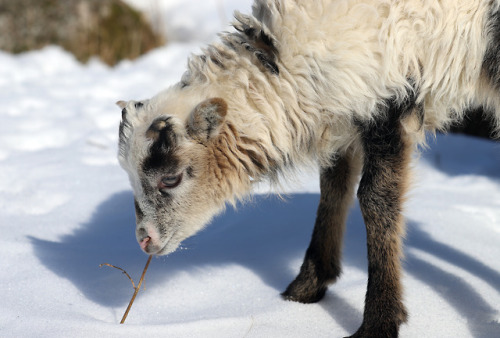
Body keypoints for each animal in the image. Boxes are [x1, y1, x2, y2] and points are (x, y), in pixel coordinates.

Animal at [116, 1, 500, 336]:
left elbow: (376, 200)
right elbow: (333, 188)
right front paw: (305, 289)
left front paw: (379, 322)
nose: (145, 240)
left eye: (171, 178)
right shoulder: (346, 110)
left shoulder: (391, 99)